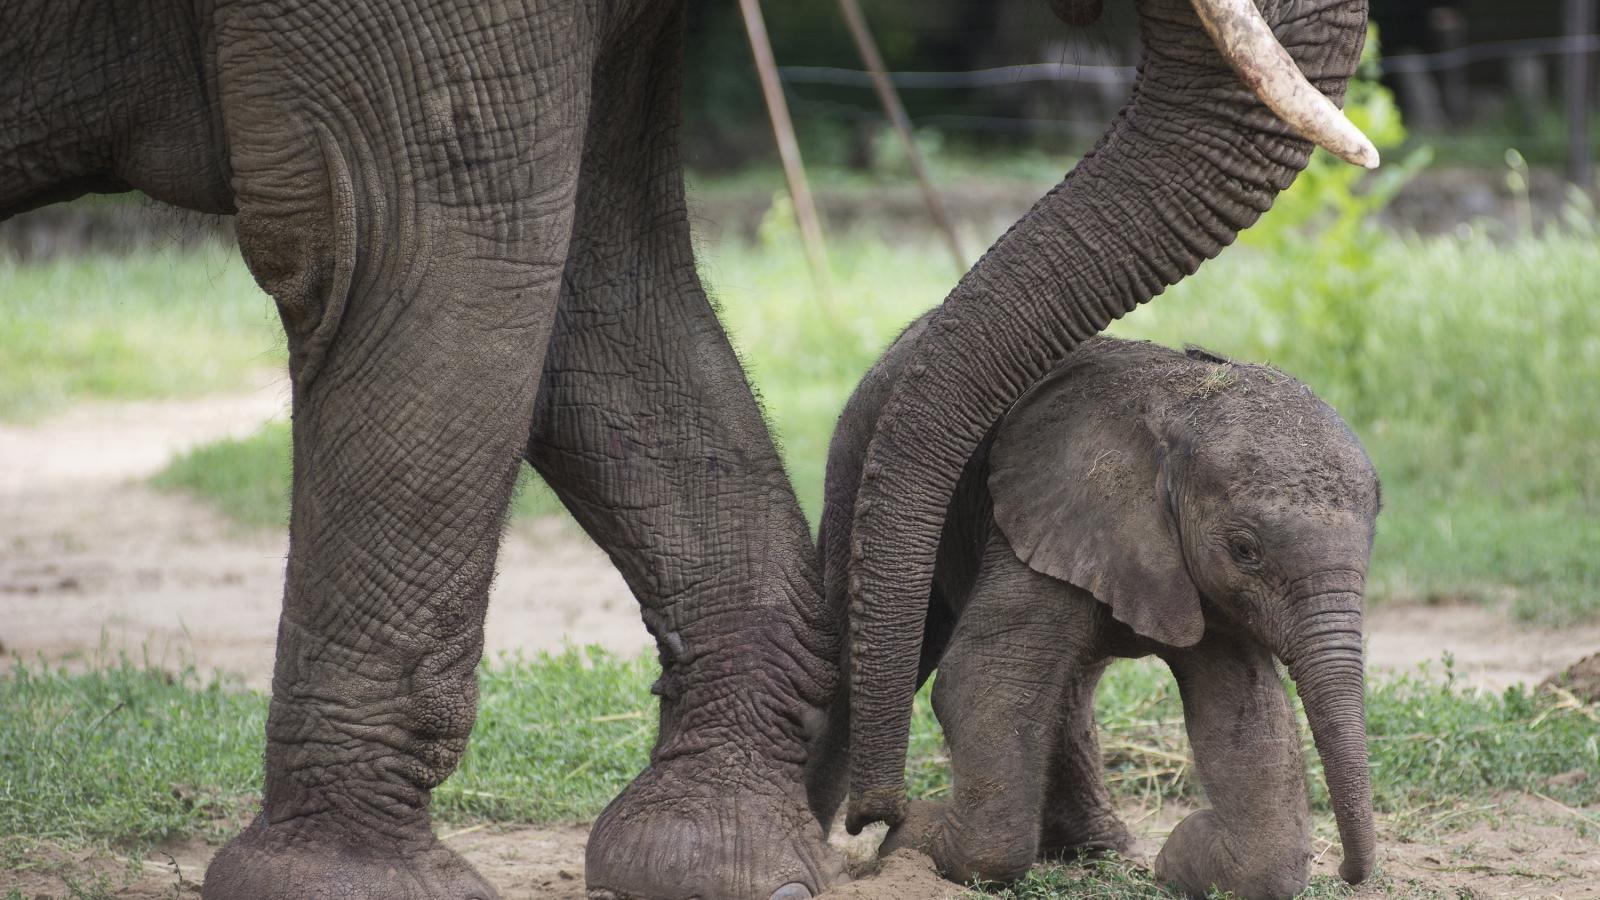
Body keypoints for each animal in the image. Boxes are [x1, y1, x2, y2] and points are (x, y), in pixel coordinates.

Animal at [819, 321, 1382, 896]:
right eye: (1245, 550)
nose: (1346, 872)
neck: (1184, 412)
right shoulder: (1051, 519)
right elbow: (984, 684)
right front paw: (911, 841)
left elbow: (1243, 715)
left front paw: (1178, 858)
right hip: (859, 463)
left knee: (1070, 687)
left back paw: (1101, 850)